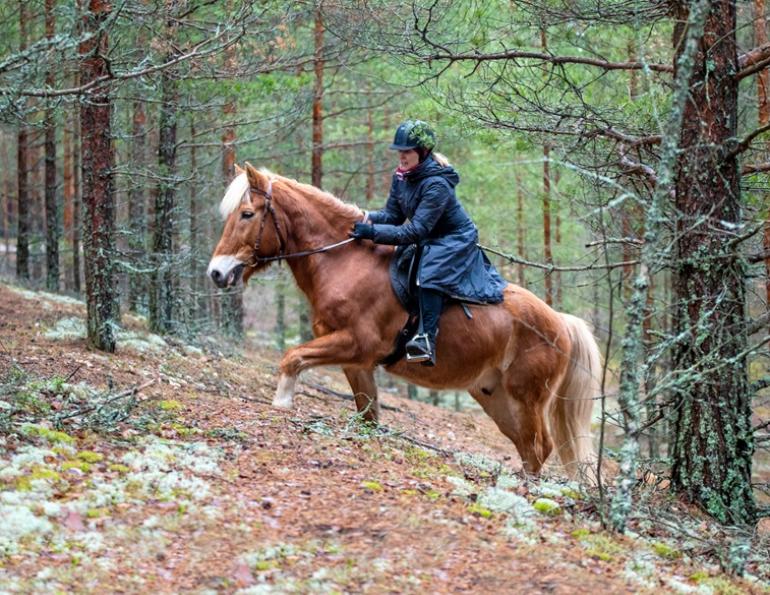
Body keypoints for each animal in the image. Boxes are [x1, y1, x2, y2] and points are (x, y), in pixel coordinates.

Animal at [208, 163, 600, 480]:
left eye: (247, 214)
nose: (216, 273)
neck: (345, 263)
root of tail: (561, 322)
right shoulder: (357, 362)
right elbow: (368, 414)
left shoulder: (355, 344)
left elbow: (292, 357)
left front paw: (282, 403)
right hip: (494, 395)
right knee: (526, 445)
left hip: (527, 396)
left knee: (539, 446)